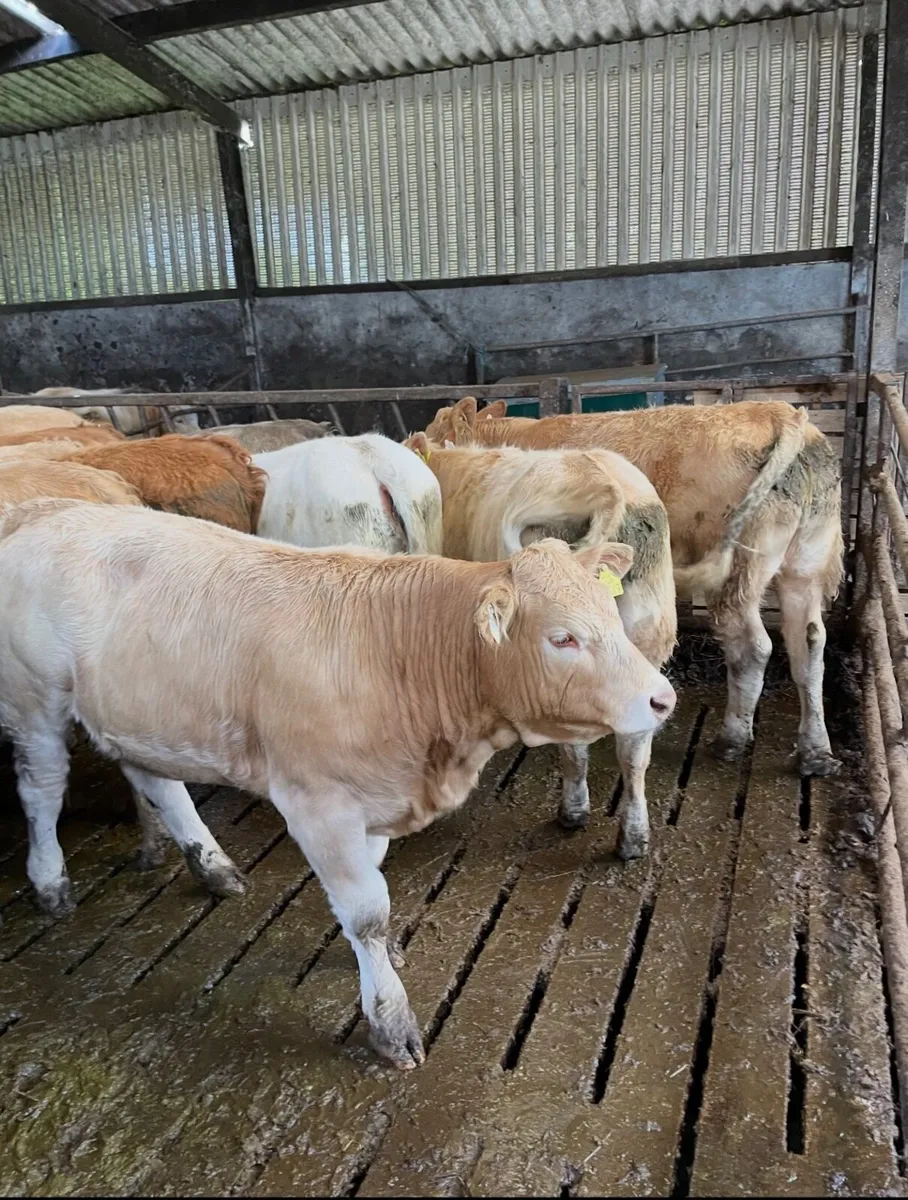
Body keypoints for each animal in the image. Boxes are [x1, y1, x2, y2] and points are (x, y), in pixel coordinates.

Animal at [0, 499, 675, 1067]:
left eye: (610, 614)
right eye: (562, 638)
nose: (662, 698)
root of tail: (47, 507)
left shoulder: (374, 796)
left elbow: (370, 897)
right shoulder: (319, 805)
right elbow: (367, 912)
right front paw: (391, 1022)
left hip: (136, 712)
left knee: (157, 780)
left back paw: (211, 866)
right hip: (35, 702)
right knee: (41, 789)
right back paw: (51, 883)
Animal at [405, 434, 678, 857]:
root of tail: (605, 487)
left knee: (575, 744)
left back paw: (573, 812)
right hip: (643, 645)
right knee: (634, 752)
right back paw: (633, 837)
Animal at [423, 396, 844, 778]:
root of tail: (779, 412)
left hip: (739, 571)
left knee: (752, 647)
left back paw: (731, 740)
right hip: (805, 562)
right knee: (809, 641)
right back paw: (816, 753)